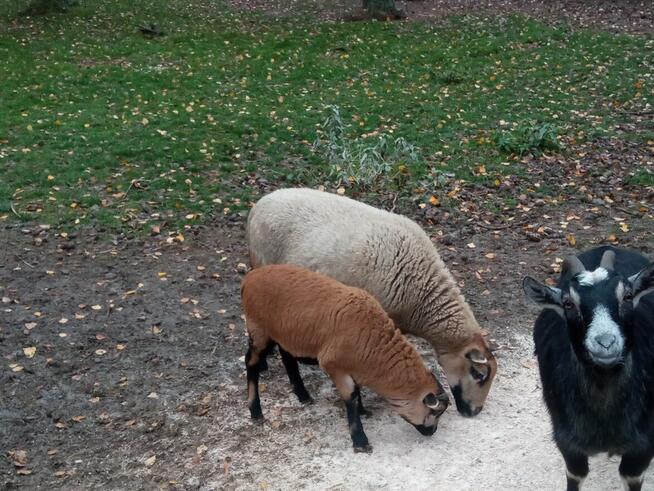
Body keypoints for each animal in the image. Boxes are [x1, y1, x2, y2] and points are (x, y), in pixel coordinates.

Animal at [241, 266, 452, 454]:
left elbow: (357, 391)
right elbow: (350, 397)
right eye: (434, 412)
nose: (432, 432)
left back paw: (303, 395)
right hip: (259, 329)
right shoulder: (334, 366)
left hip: (284, 333)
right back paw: (256, 410)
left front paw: (363, 411)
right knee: (251, 363)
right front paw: (360, 441)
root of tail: (249, 278)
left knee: (287, 358)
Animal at [524, 248, 654, 490]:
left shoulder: (644, 445)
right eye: (568, 303)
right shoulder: (567, 441)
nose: (606, 343)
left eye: (627, 296)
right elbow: (576, 475)